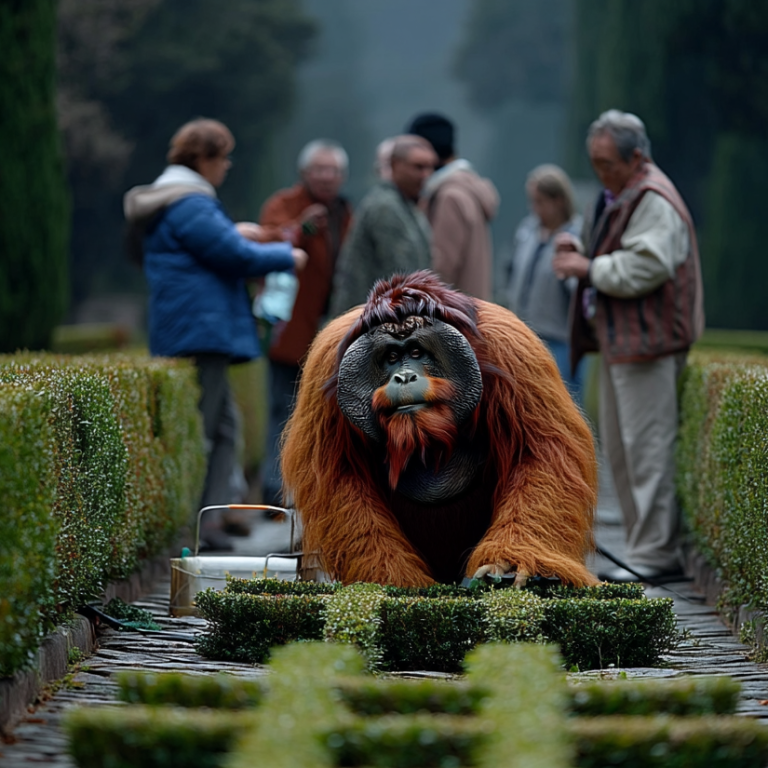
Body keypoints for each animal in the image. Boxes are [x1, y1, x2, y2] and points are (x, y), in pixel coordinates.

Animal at [281, 270, 598, 587]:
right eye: (392, 357)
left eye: (416, 352)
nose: (404, 377)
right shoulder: (324, 365)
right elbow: (340, 478)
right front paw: (397, 580)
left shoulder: (513, 351)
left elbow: (540, 454)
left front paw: (508, 565)